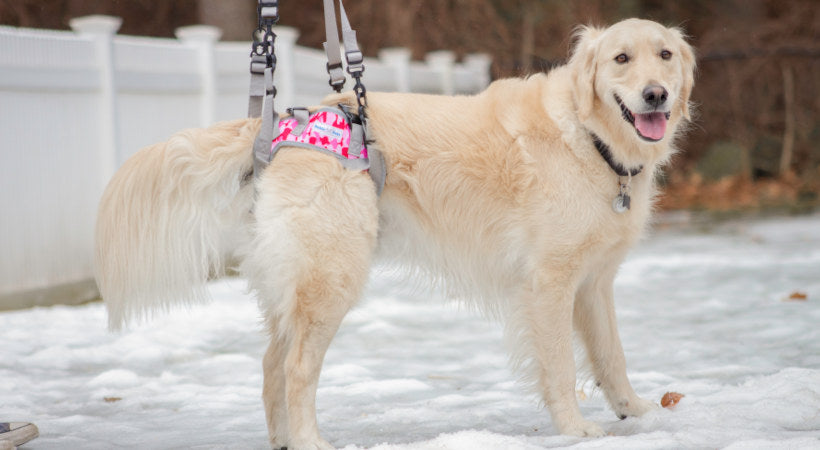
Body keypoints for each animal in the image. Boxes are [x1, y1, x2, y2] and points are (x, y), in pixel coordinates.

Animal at [97, 18, 700, 450]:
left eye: (665, 56)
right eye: (621, 59)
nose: (655, 95)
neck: (588, 136)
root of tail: (283, 125)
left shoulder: (594, 282)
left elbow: (611, 355)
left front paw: (635, 411)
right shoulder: (549, 283)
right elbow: (560, 364)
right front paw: (575, 429)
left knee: (270, 364)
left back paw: (284, 440)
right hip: (333, 278)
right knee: (294, 368)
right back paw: (310, 441)